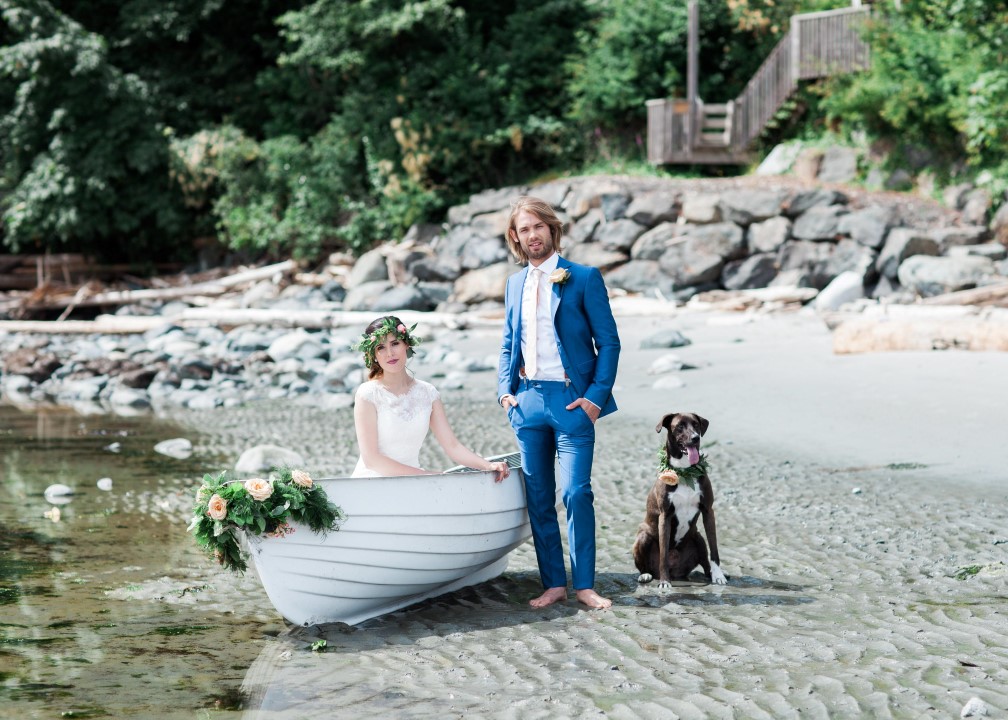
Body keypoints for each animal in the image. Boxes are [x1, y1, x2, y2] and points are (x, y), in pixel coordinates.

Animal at [628, 411, 725, 584]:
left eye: (696, 425)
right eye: (679, 426)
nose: (695, 438)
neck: (685, 472)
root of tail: (677, 573)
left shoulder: (708, 511)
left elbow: (714, 549)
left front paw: (719, 575)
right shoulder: (665, 515)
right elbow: (663, 554)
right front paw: (664, 582)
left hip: (698, 538)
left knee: (705, 560)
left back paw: (710, 574)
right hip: (643, 537)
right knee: (646, 563)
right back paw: (646, 575)